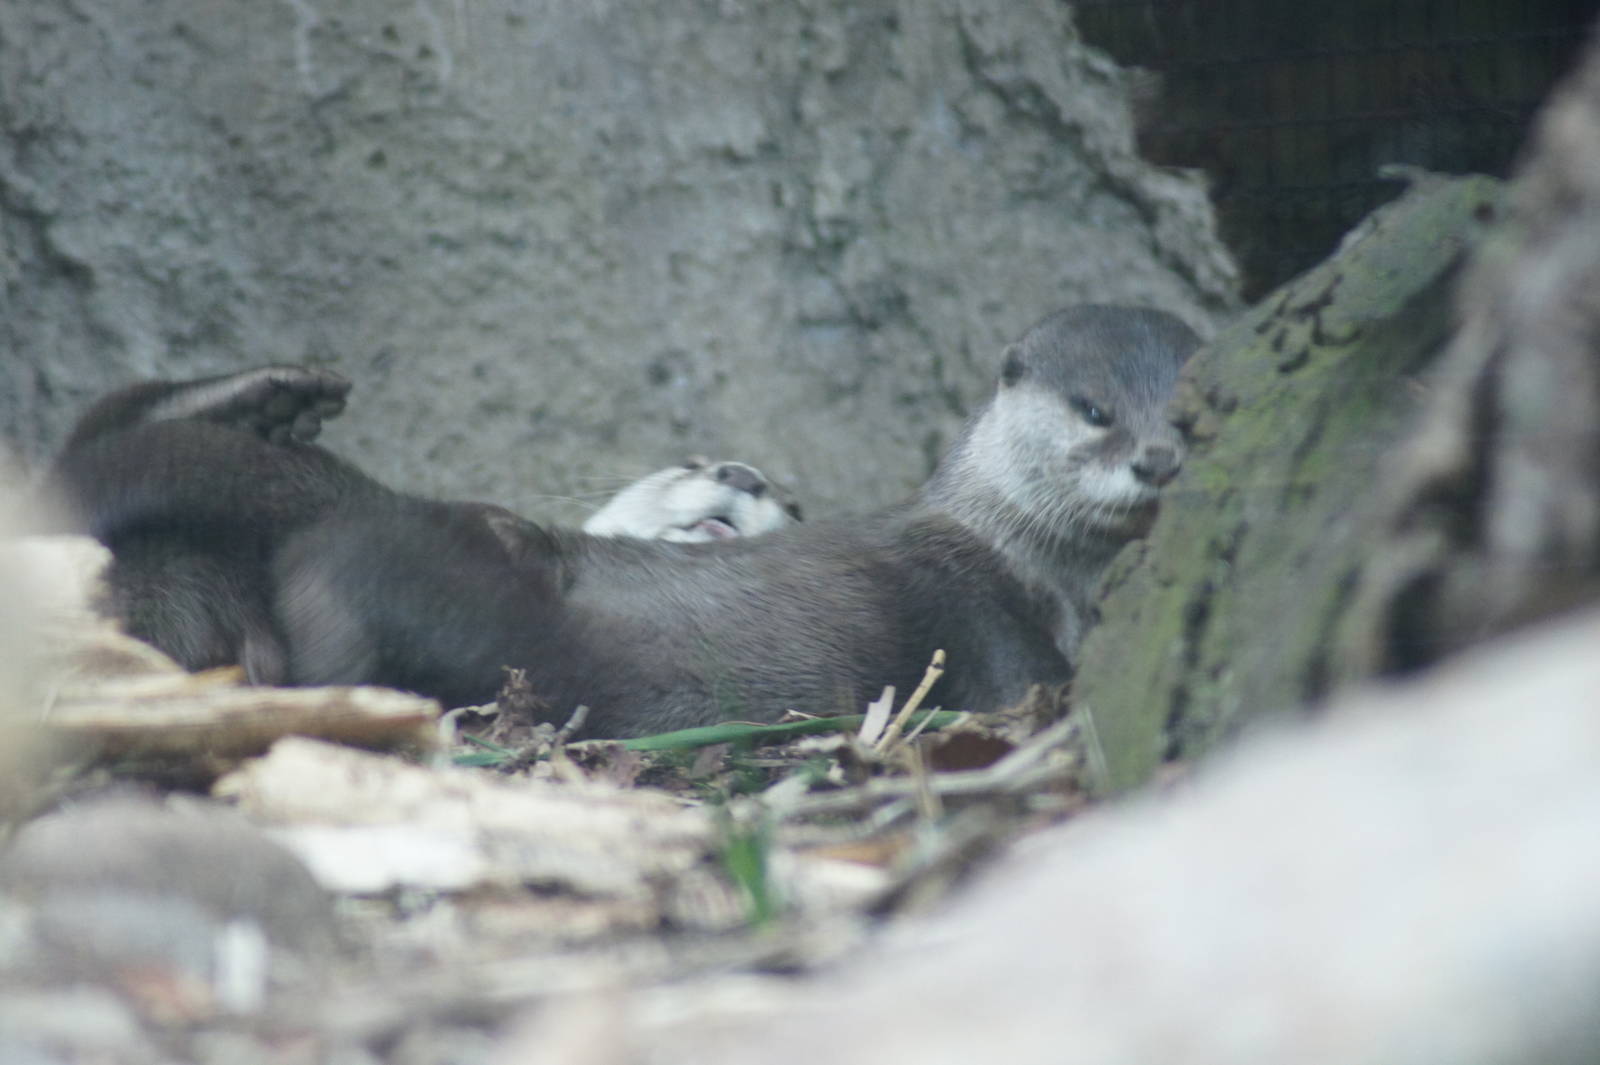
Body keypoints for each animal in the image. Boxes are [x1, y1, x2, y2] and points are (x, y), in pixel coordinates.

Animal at [49, 305, 1197, 736]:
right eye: (1094, 410)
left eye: (1188, 407)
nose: (1159, 456)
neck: (1011, 551)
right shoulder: (981, 609)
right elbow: (1021, 686)